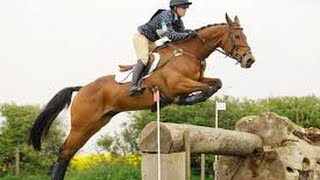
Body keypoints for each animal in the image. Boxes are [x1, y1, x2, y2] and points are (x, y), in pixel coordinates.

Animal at [28, 13, 256, 179]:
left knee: (68, 153)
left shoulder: (199, 79)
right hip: (82, 124)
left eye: (245, 36)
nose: (249, 60)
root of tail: (82, 88)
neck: (189, 53)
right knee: (64, 152)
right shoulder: (177, 85)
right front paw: (187, 99)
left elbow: (216, 83)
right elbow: (204, 90)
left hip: (95, 124)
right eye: (237, 37)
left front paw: (191, 97)